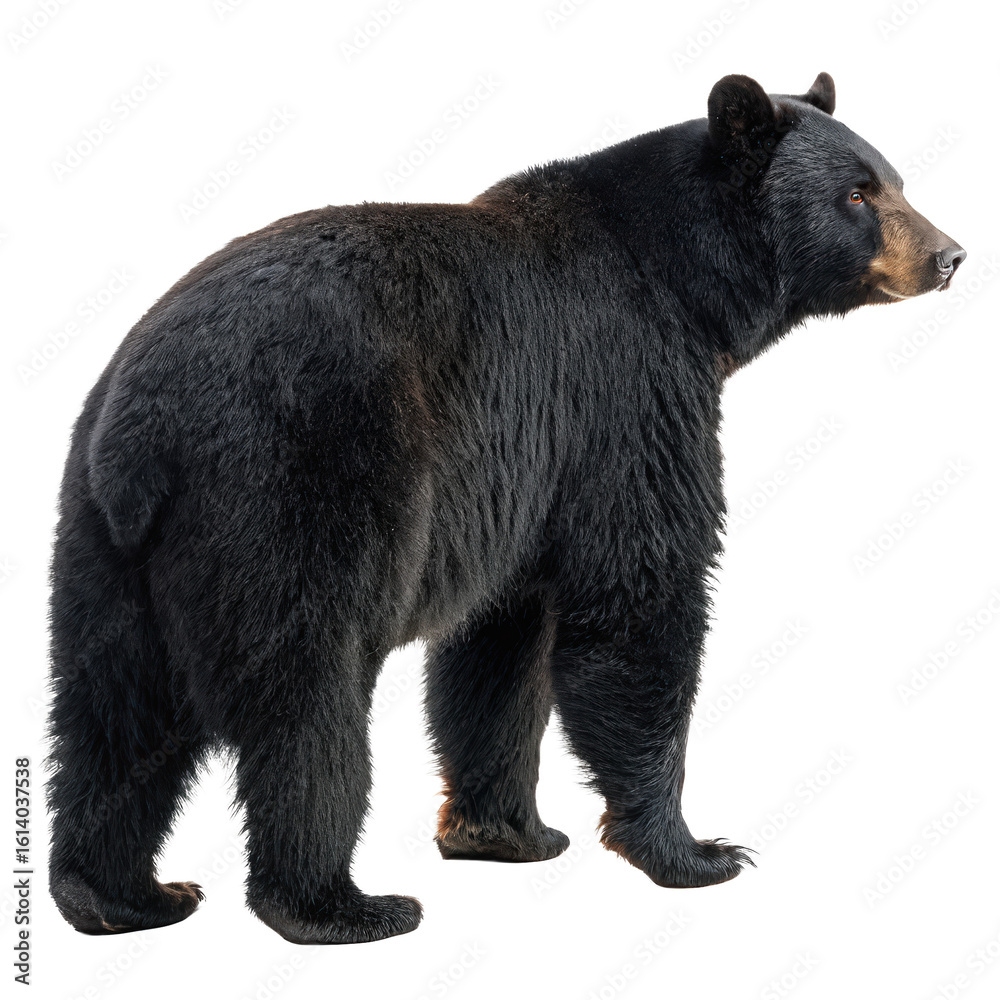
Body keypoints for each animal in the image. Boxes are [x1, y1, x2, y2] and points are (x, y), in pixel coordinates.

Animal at [46, 72, 964, 944]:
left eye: (895, 180)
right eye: (858, 194)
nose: (949, 254)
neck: (687, 280)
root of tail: (151, 424)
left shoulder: (518, 483)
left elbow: (498, 649)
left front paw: (507, 832)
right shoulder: (625, 388)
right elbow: (638, 594)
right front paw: (694, 850)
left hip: (104, 538)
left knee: (112, 716)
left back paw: (121, 895)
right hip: (299, 480)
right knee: (306, 697)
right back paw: (339, 905)